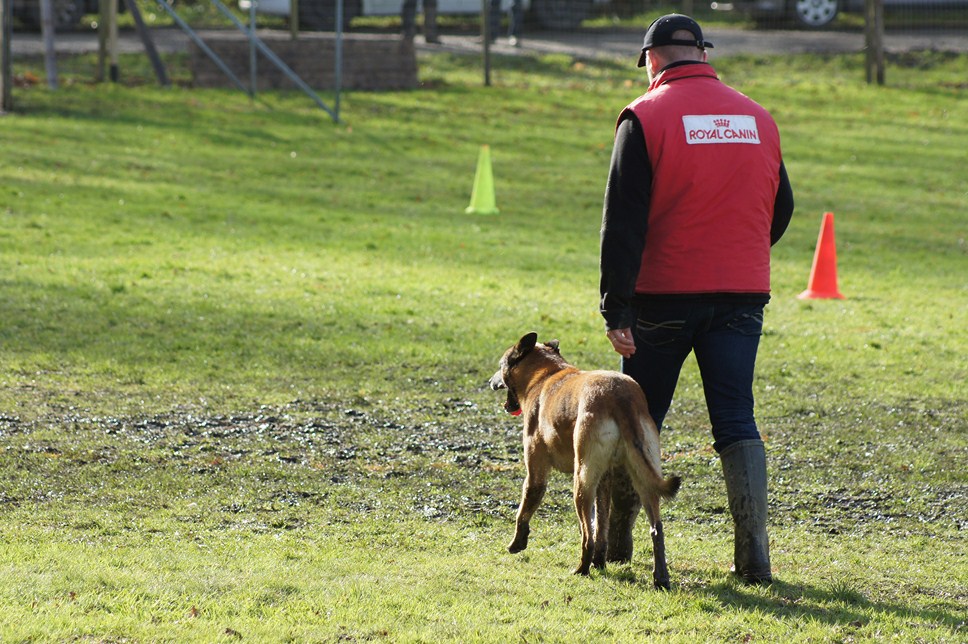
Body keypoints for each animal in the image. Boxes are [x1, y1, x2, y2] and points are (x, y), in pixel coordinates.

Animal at [484, 332, 680, 588]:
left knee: (587, 535)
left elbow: (524, 510)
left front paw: (517, 543)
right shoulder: (604, 480)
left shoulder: (536, 473)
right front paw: (600, 562)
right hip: (642, 478)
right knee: (655, 529)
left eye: (501, 365)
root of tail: (621, 396)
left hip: (581, 480)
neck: (545, 376)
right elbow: (600, 527)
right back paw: (660, 577)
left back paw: (582, 569)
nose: (490, 380)